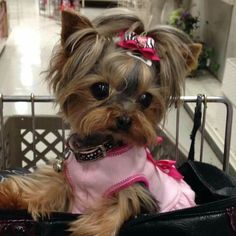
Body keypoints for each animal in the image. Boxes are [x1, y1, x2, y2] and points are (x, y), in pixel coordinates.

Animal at [0, 8, 201, 235]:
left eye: (146, 99)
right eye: (100, 89)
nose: (124, 119)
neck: (101, 150)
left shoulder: (135, 189)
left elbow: (116, 209)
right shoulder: (67, 178)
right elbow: (47, 186)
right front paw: (9, 196)